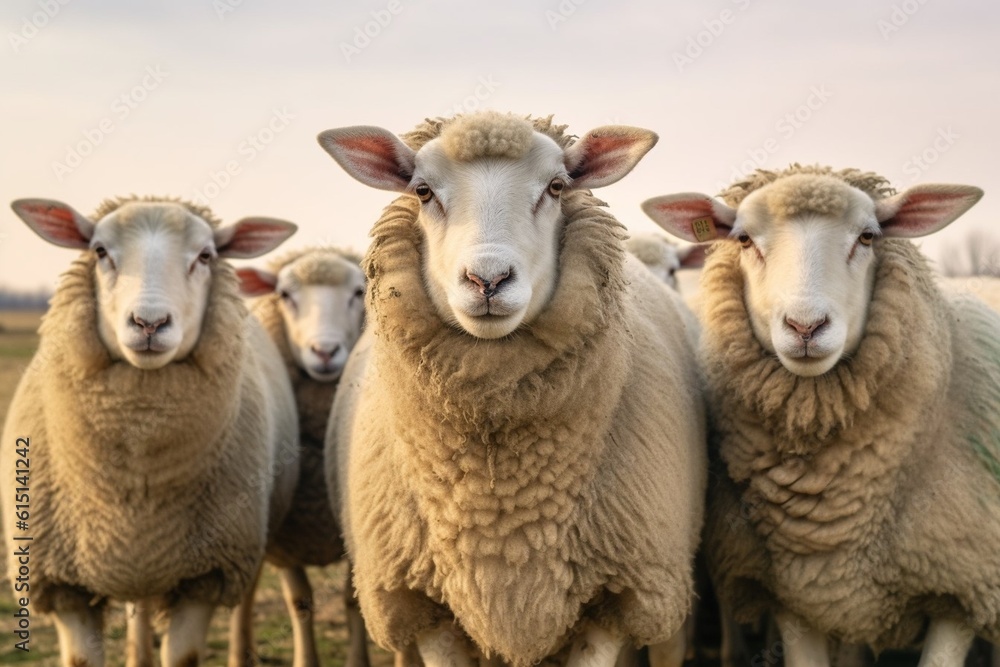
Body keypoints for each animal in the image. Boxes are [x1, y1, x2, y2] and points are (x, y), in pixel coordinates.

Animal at [1, 196, 299, 667]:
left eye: (206, 256)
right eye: (99, 251)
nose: (149, 323)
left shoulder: (205, 576)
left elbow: (183, 656)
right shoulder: (61, 584)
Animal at [229, 247, 369, 667]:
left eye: (359, 292)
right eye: (286, 295)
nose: (324, 351)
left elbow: (352, 601)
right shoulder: (286, 535)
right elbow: (300, 601)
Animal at [317, 112, 708, 667]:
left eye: (556, 186)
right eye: (422, 190)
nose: (488, 279)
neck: (501, 512)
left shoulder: (619, 596)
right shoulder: (421, 604)